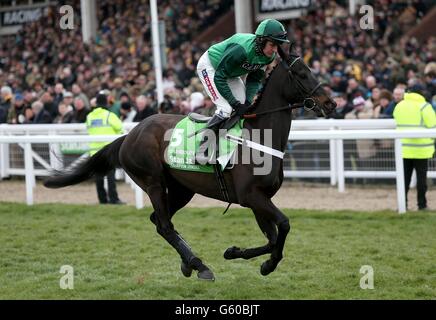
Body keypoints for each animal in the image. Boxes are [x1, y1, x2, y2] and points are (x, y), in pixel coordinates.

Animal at [44, 47, 336, 280]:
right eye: (301, 74)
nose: (332, 103)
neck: (259, 135)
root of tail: (130, 134)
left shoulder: (258, 198)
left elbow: (273, 238)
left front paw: (238, 254)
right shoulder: (252, 196)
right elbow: (284, 225)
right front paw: (267, 265)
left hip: (182, 189)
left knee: (158, 221)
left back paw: (188, 264)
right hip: (153, 182)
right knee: (164, 224)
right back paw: (198, 265)